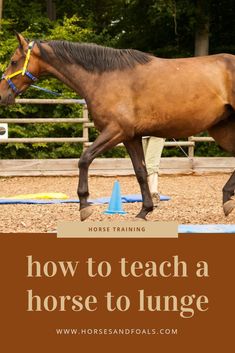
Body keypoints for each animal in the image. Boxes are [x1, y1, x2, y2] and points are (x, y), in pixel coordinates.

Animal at [0, 33, 235, 220]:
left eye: (13, 61)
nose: (2, 94)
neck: (104, 77)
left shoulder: (116, 131)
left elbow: (84, 159)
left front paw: (84, 206)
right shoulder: (131, 137)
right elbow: (140, 172)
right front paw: (144, 211)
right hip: (222, 130)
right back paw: (226, 200)